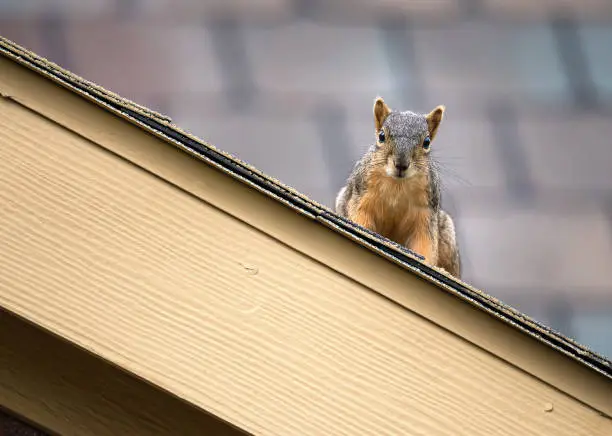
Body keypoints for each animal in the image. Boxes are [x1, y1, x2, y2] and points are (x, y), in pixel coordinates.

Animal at [334, 96, 460, 278]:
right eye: (381, 136)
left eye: (427, 142)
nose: (401, 164)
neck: (397, 185)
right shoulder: (361, 197)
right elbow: (360, 220)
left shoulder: (425, 213)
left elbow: (424, 242)